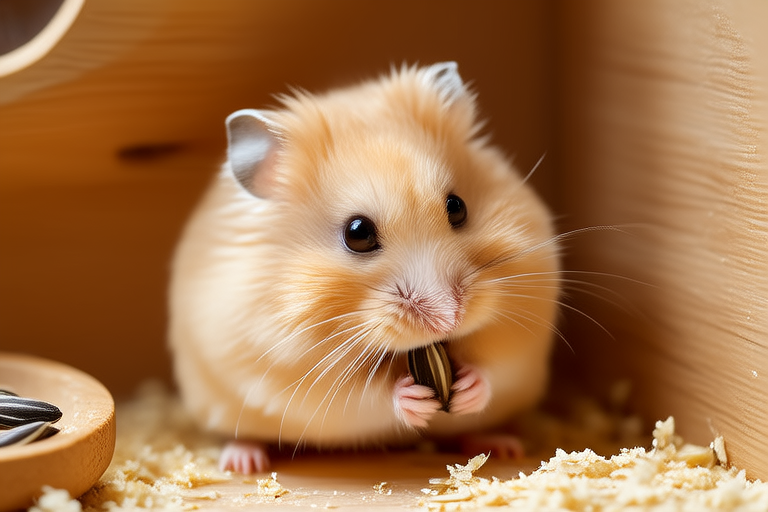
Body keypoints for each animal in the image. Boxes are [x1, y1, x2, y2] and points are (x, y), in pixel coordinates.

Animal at [169, 62, 561, 474]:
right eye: (357, 234)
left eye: (457, 206)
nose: (449, 320)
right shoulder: (298, 374)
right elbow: (365, 396)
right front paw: (410, 397)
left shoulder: (523, 327)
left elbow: (495, 365)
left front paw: (469, 386)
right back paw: (243, 462)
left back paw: (503, 446)